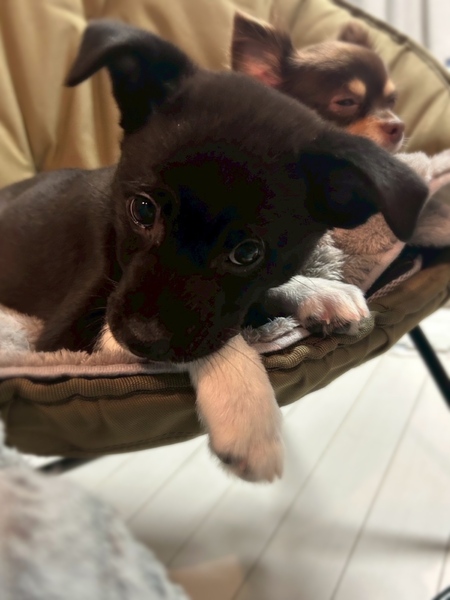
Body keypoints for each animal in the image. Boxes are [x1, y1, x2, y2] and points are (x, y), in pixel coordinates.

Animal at [0, 20, 428, 482]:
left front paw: (321, 292)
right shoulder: (72, 336)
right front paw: (246, 412)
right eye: (143, 210)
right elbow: (217, 339)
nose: (138, 339)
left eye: (247, 253)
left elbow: (248, 302)